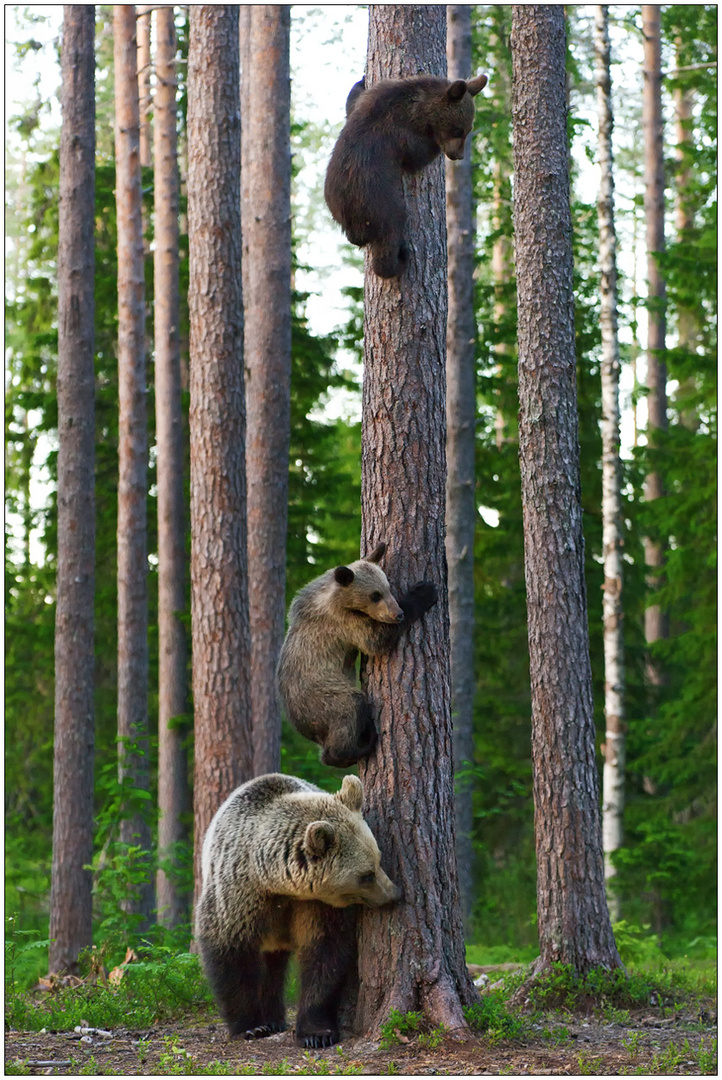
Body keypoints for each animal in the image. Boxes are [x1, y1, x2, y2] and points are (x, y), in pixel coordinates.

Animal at [195, 773, 399, 1049]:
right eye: (366, 875)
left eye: (379, 859)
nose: (394, 893)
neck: (275, 882)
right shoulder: (239, 893)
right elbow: (230, 950)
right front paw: (250, 1026)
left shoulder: (316, 905)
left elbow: (326, 951)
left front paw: (317, 1033)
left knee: (274, 968)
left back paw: (274, 1018)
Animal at [276, 540, 436, 768]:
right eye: (375, 595)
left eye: (388, 587)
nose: (397, 614)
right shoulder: (343, 624)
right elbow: (376, 640)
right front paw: (424, 592)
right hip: (322, 696)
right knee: (349, 710)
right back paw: (362, 743)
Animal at [325, 72, 483, 278]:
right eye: (458, 130)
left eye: (468, 129)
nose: (458, 155)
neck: (416, 110)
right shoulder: (398, 135)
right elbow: (417, 155)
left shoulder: (372, 99)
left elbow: (352, 104)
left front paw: (361, 80)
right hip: (378, 203)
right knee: (390, 232)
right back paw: (398, 258)